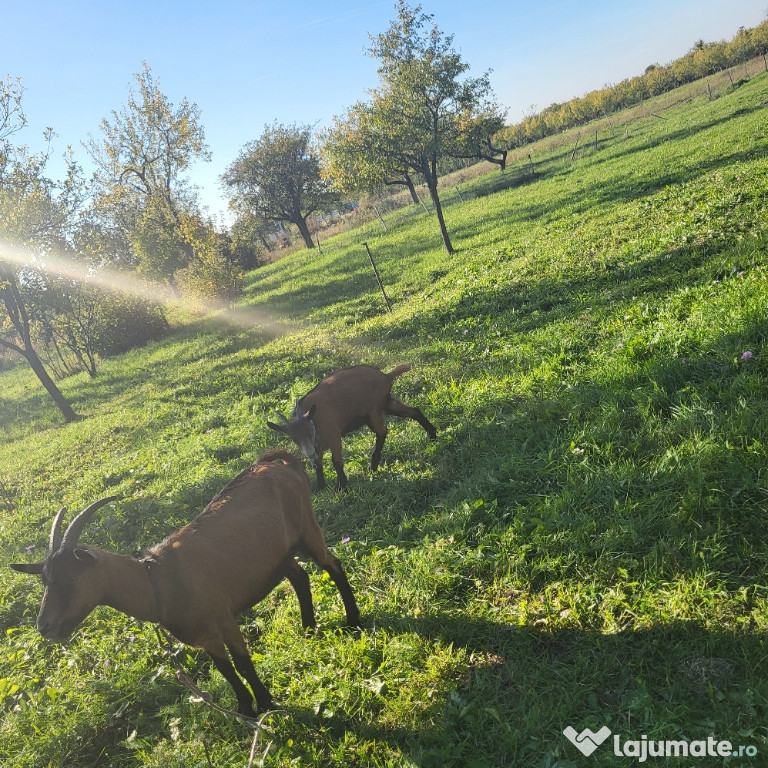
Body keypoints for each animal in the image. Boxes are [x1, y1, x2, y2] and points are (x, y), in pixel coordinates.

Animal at [9, 452, 362, 716]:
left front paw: (266, 704)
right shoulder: (204, 637)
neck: (158, 581)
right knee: (300, 577)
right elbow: (226, 670)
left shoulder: (223, 619)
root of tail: (279, 463)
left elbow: (243, 664)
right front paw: (245, 709)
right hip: (279, 554)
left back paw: (353, 621)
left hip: (307, 528)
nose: (44, 626)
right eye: (44, 579)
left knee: (333, 566)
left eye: (72, 576)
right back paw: (308, 628)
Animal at [268, 364, 436, 492]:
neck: (314, 419)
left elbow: (336, 461)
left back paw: (372, 465)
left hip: (373, 412)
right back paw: (432, 435)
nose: (308, 453)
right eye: (293, 437)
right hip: (386, 404)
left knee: (382, 431)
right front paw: (321, 486)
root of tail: (386, 377)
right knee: (414, 411)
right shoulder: (318, 447)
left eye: (309, 430)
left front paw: (341, 486)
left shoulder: (333, 435)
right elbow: (319, 464)